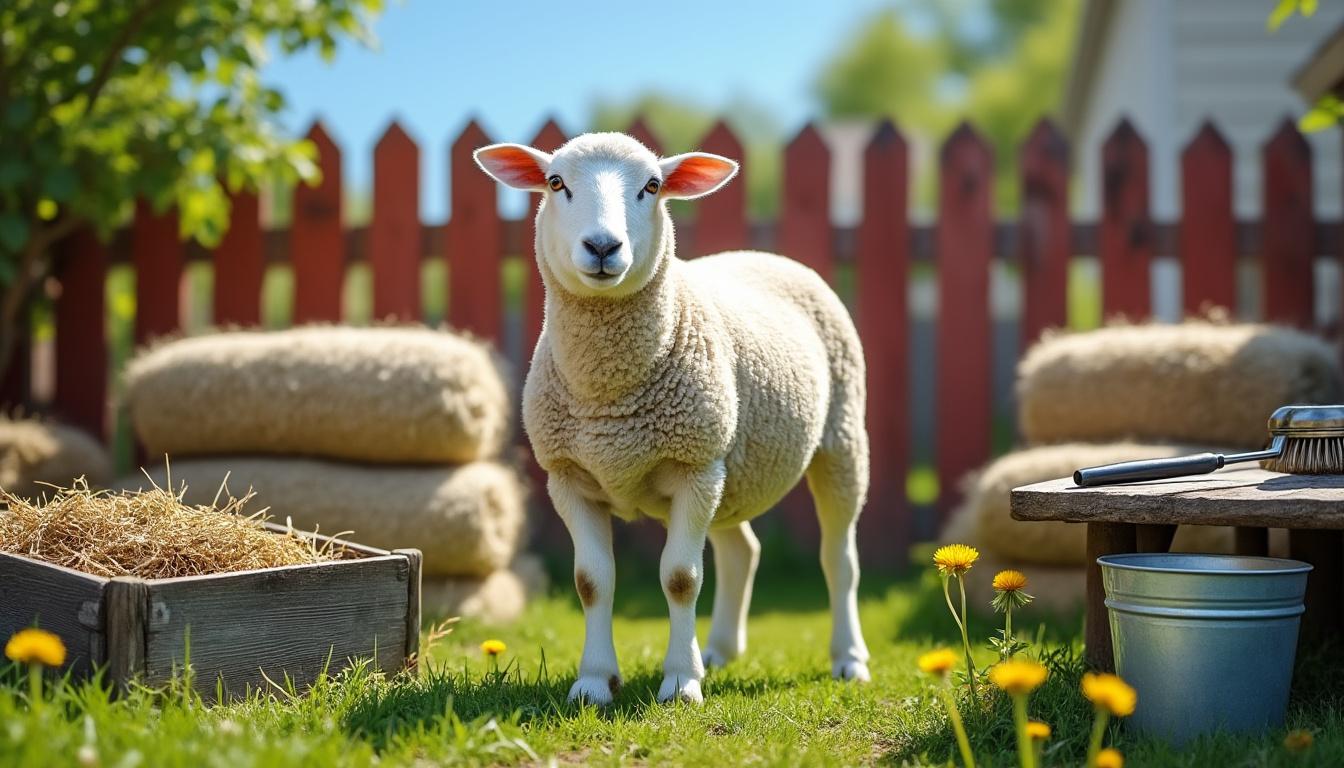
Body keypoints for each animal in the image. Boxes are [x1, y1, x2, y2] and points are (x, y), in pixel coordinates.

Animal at [475, 132, 871, 705]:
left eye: (652, 186)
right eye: (555, 182)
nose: (603, 247)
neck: (609, 396)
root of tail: (762, 255)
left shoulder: (693, 468)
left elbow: (681, 578)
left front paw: (681, 683)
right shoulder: (570, 476)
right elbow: (591, 582)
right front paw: (594, 682)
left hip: (837, 440)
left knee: (839, 560)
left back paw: (849, 659)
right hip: (729, 470)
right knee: (742, 551)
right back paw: (721, 651)